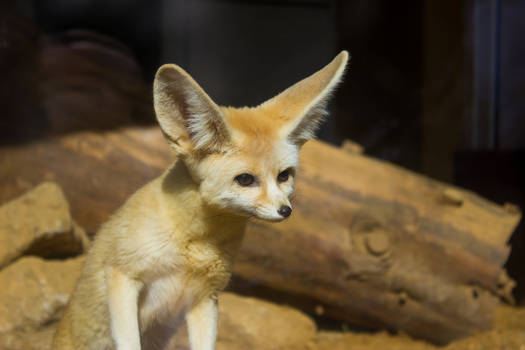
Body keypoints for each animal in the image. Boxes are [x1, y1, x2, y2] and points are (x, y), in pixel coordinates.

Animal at [53, 50, 348, 350]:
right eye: (245, 179)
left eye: (284, 176)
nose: (285, 210)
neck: (196, 245)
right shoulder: (121, 274)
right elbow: (129, 342)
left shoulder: (206, 299)